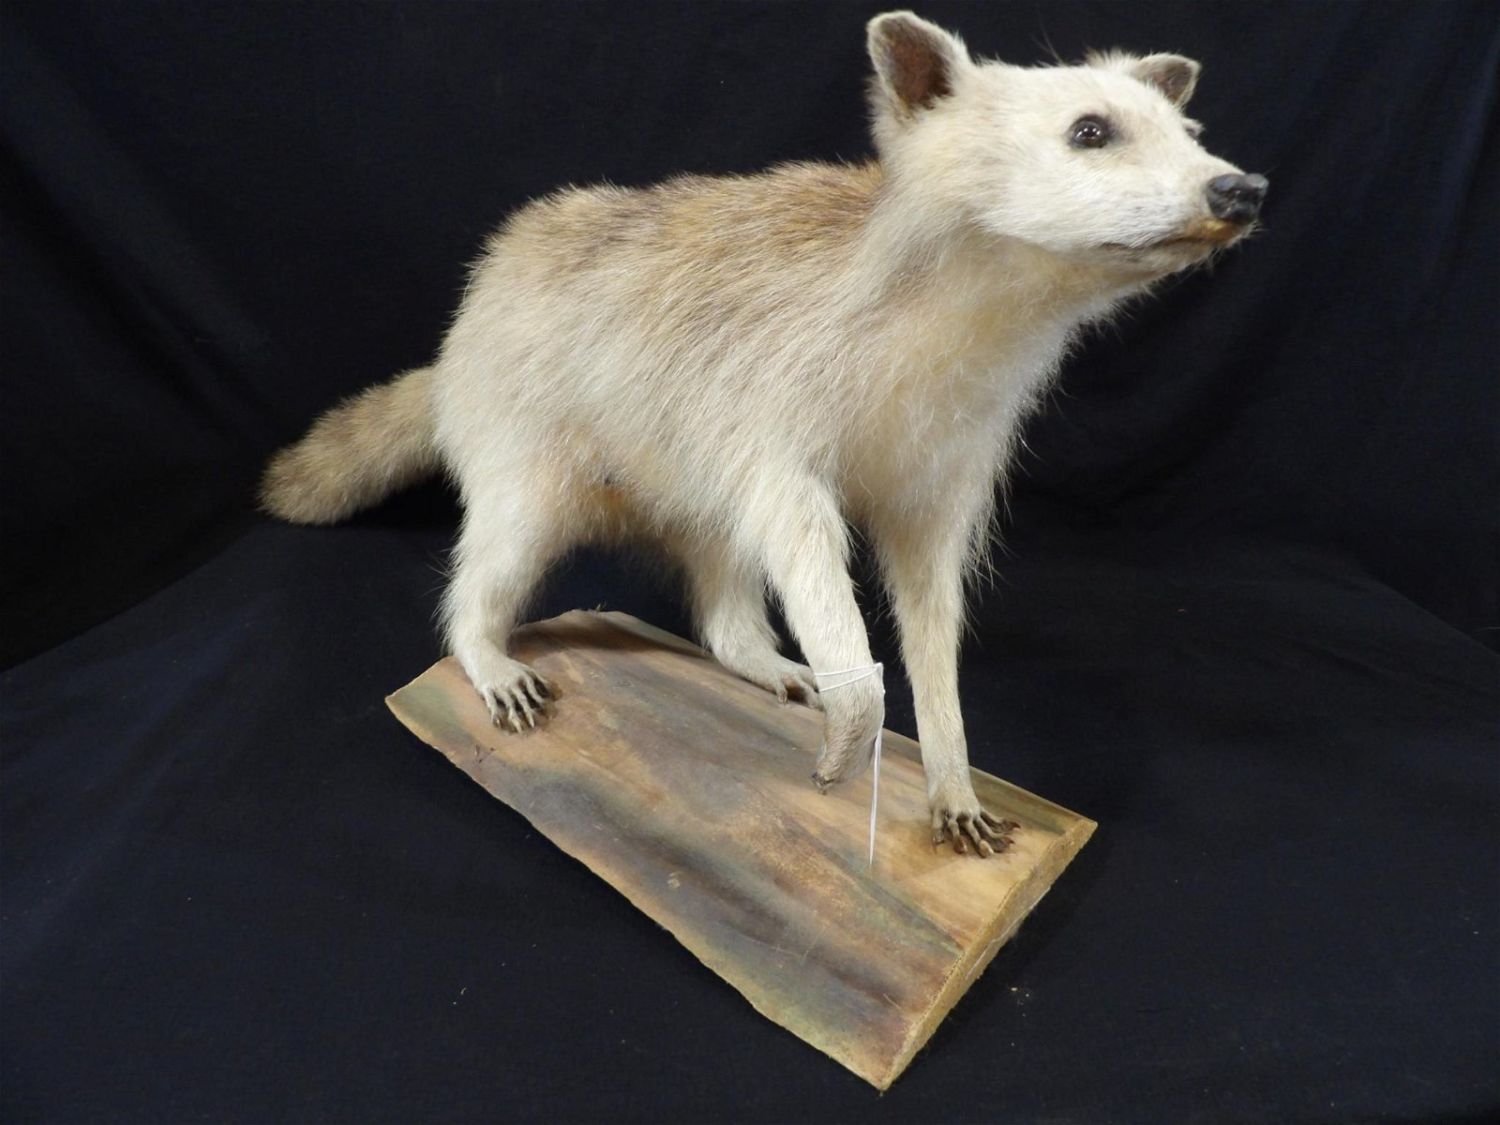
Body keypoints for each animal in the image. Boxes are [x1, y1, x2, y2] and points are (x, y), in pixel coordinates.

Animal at [261, 11, 1266, 856]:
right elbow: (805, 544)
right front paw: (860, 702)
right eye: (1091, 131)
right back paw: (480, 641)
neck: (984, 310)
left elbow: (932, 609)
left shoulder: (949, 457)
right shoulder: (773, 406)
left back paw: (750, 650)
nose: (1242, 186)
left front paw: (948, 760)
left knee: (721, 583)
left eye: (1190, 135)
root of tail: (459, 341)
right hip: (522, 425)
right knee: (505, 543)